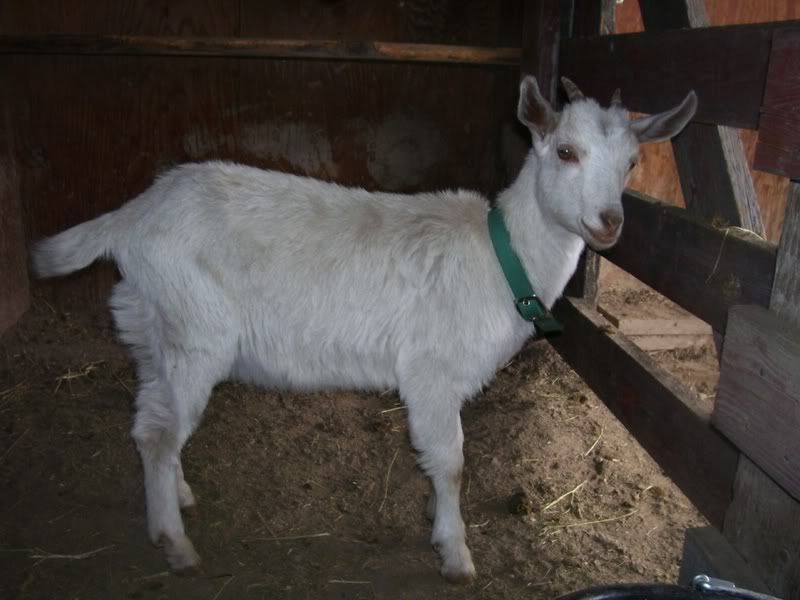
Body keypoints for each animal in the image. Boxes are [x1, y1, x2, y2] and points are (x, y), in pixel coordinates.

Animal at [32, 76, 696, 582]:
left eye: (632, 163)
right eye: (565, 152)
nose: (608, 222)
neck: (500, 257)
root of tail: (131, 218)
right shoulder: (430, 373)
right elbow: (451, 462)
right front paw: (456, 554)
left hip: (154, 328)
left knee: (152, 421)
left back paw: (175, 497)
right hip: (195, 332)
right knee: (158, 433)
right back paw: (176, 543)